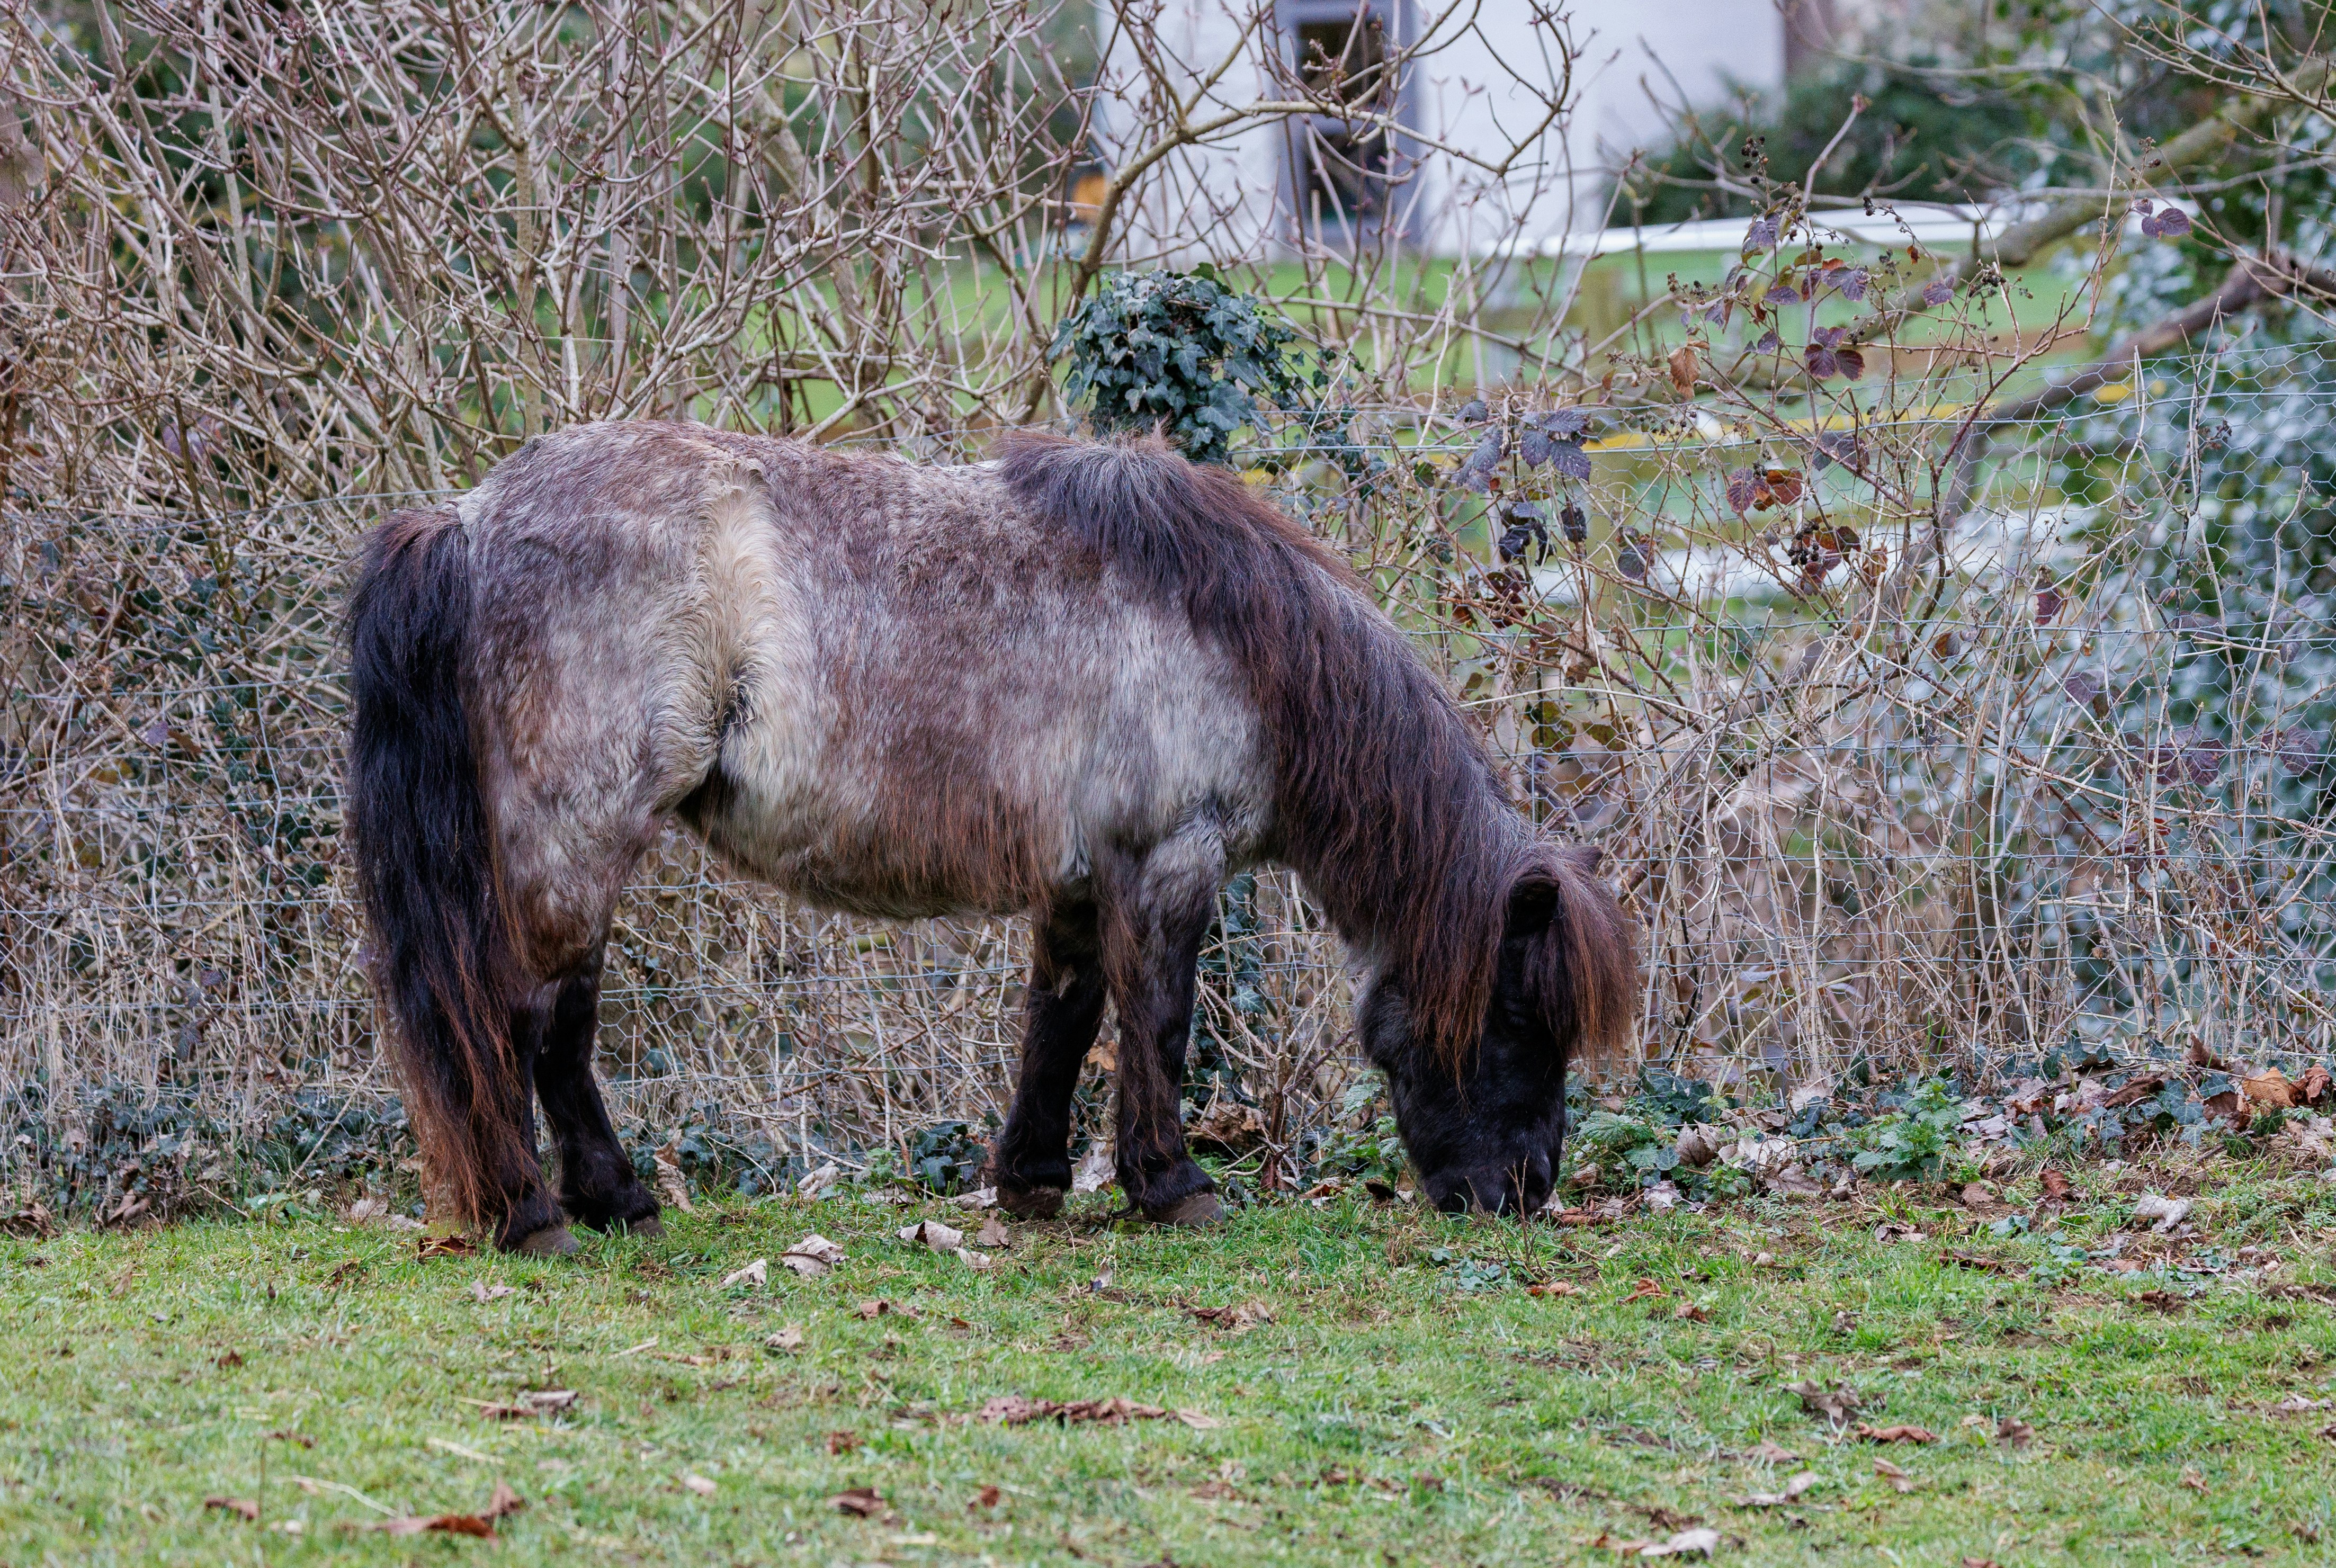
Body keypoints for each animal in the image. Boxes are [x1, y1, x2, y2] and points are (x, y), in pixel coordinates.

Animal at [346, 421, 1637, 1255]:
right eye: (1518, 1018)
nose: (1525, 1193)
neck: (1236, 638)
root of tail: (466, 519)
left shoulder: (1077, 877)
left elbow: (1061, 1021)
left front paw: (1031, 1183)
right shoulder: (1170, 861)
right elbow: (1158, 1020)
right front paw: (1174, 1186)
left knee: (551, 1028)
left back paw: (610, 1203)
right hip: (577, 838)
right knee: (528, 1024)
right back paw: (542, 1214)